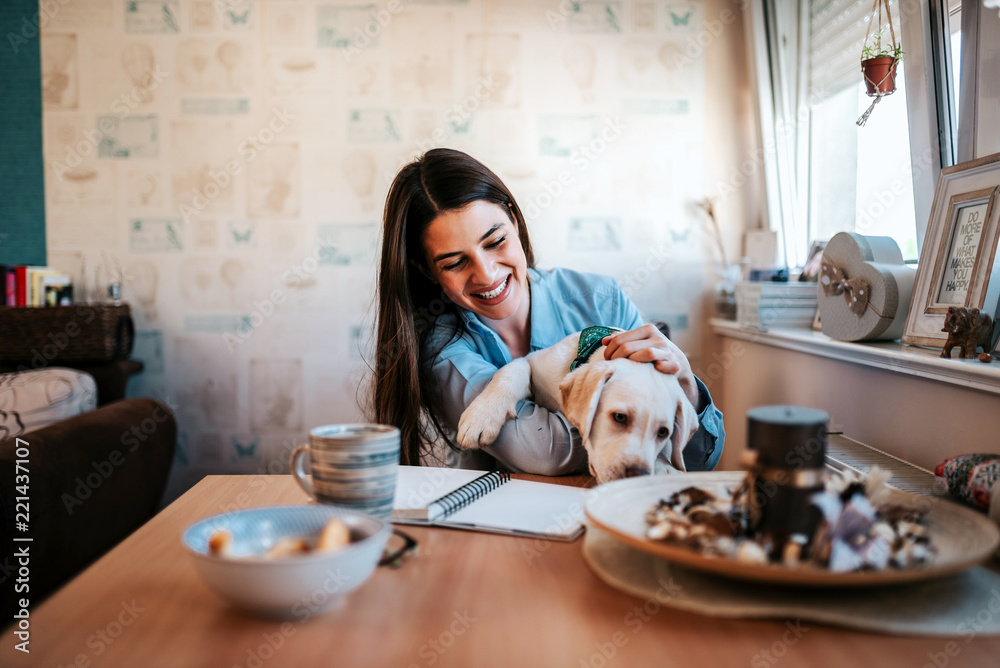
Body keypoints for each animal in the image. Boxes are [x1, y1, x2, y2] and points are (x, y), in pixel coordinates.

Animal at [458, 330, 700, 482]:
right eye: (619, 417)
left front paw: (664, 466)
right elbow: (509, 372)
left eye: (663, 433)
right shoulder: (531, 362)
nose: (637, 474)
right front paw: (481, 415)